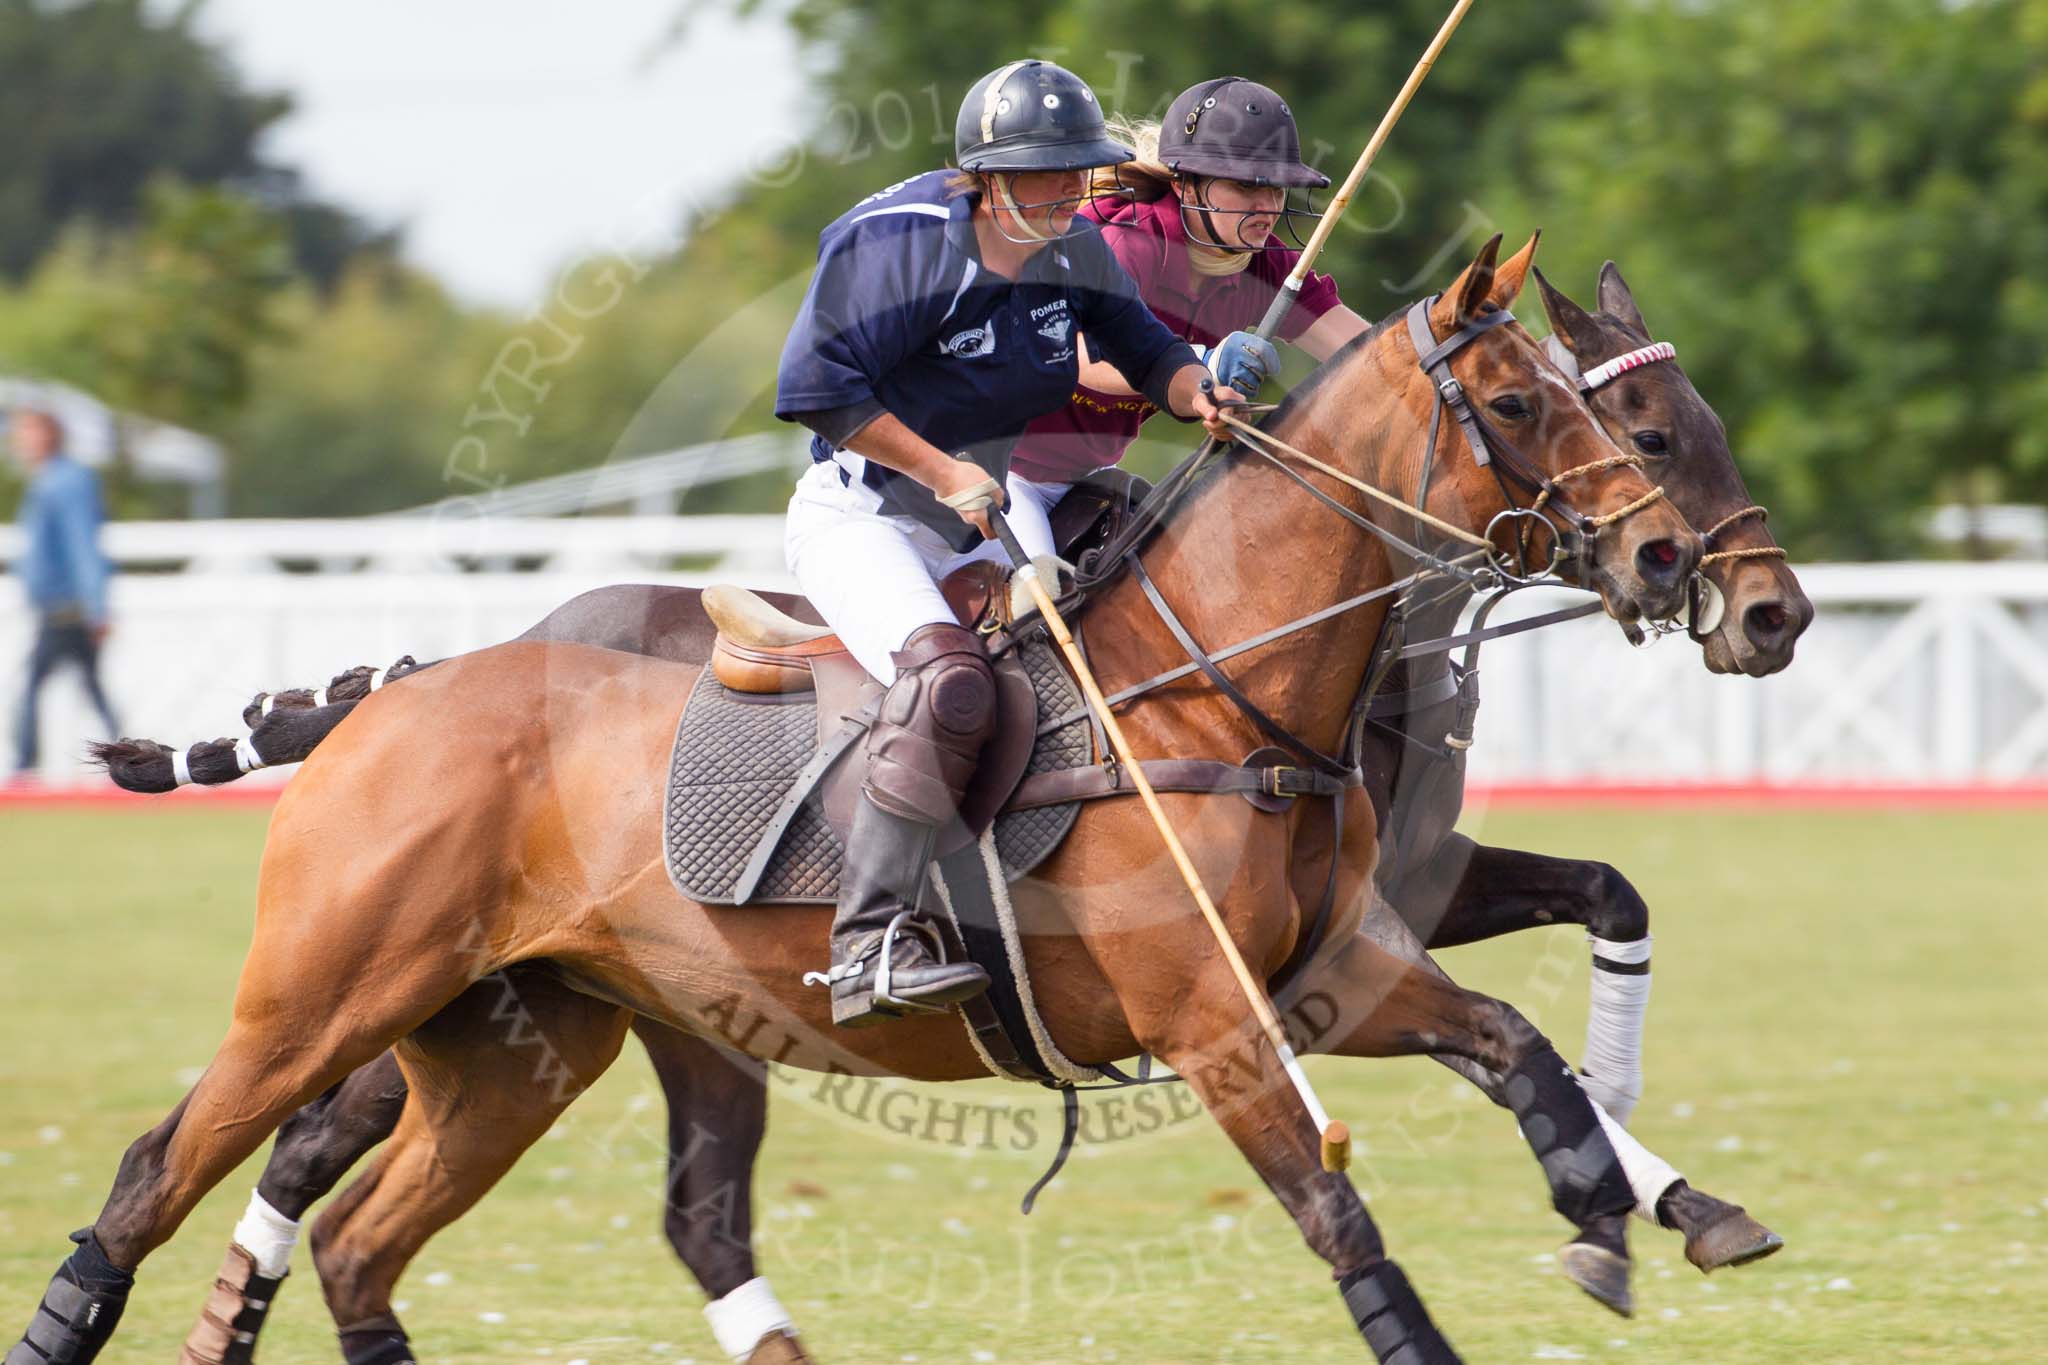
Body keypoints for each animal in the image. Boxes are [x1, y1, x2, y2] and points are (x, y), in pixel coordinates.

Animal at [16, 237, 1744, 1365]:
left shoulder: (1340, 968)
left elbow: (1519, 1047)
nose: (1701, 574)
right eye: (1530, 407)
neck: (1223, 682)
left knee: (378, 1240)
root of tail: (401, 688)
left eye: (1624, 412)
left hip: (533, 1037)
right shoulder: (1213, 1019)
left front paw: (1618, 1208)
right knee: (166, 1176)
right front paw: (1620, 1214)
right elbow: (1341, 1217)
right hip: (321, 995)